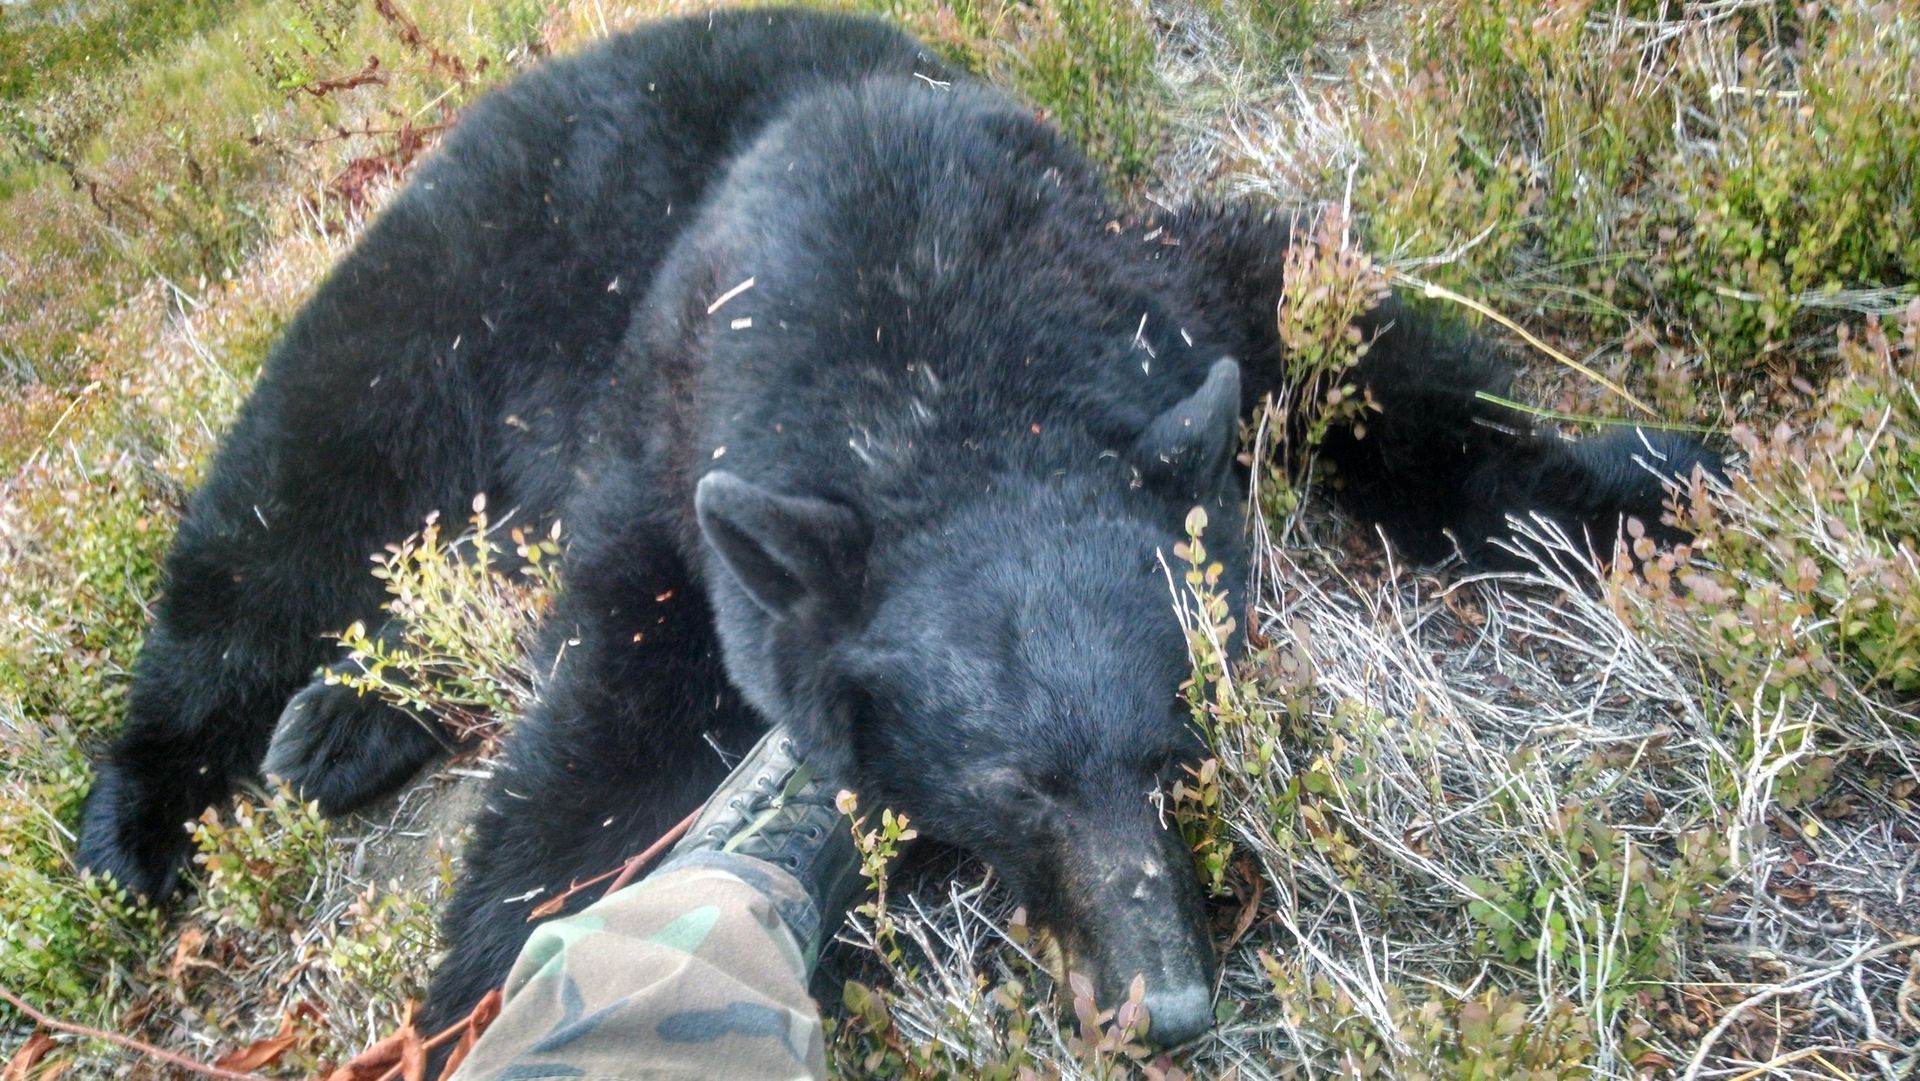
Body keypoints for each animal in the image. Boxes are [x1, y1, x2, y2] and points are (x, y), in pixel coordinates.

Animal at [74, 8, 1717, 1047]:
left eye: (1180, 745)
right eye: (1009, 783)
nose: (1168, 1000)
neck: (926, 332)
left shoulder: (1146, 288)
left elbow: (1338, 334)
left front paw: (1642, 484)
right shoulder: (675, 450)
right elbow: (607, 721)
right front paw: (486, 981)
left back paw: (343, 722)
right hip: (433, 302)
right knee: (284, 513)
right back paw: (137, 824)